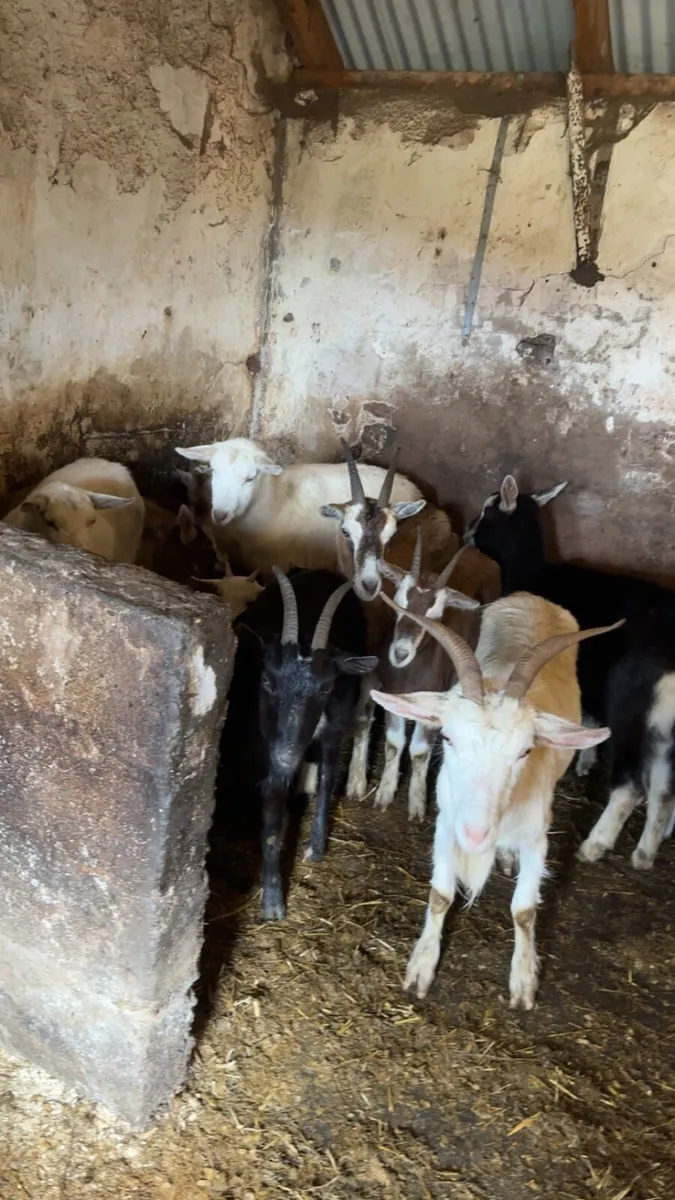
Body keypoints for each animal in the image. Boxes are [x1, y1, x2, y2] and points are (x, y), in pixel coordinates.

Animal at [231, 567, 377, 919]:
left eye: (325, 688)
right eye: (266, 680)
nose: (287, 758)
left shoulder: (334, 724)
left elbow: (328, 779)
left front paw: (316, 848)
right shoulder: (268, 742)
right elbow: (272, 815)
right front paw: (272, 902)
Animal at [371, 594, 620, 1008]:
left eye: (525, 751)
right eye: (448, 738)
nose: (476, 835)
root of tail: (536, 598)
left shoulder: (537, 837)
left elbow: (524, 910)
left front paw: (524, 982)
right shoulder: (446, 823)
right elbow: (440, 894)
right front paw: (421, 967)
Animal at [375, 538, 501, 820]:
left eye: (435, 617)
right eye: (397, 603)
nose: (400, 652)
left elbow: (420, 752)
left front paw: (417, 804)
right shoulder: (391, 696)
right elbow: (394, 743)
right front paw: (384, 793)